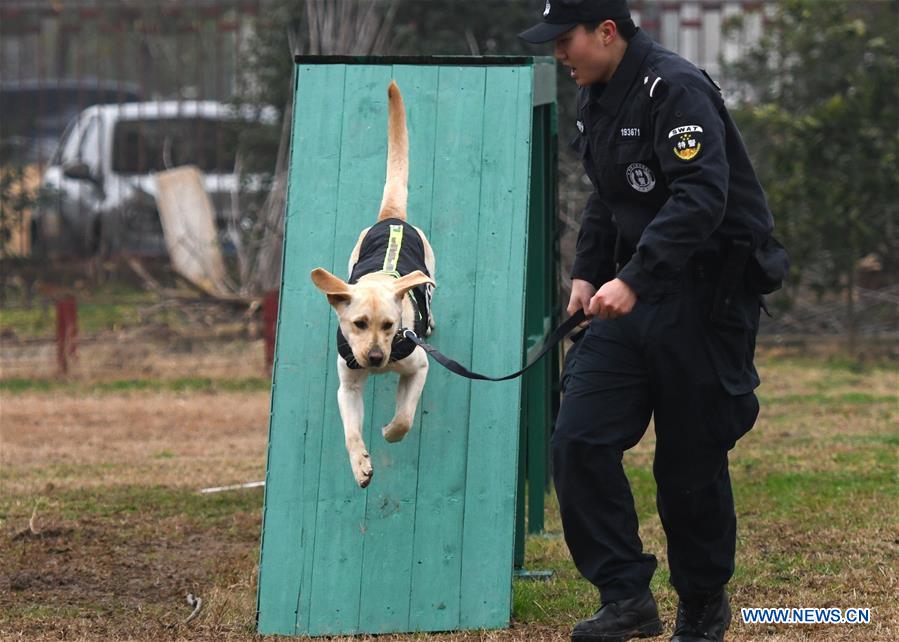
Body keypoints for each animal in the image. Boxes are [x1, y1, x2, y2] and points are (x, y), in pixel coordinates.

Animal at [310, 82, 436, 488]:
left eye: (390, 326)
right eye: (359, 324)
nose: (377, 359)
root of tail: (391, 217)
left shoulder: (418, 367)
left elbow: (404, 417)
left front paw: (388, 432)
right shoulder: (348, 385)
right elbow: (351, 431)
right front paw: (360, 465)